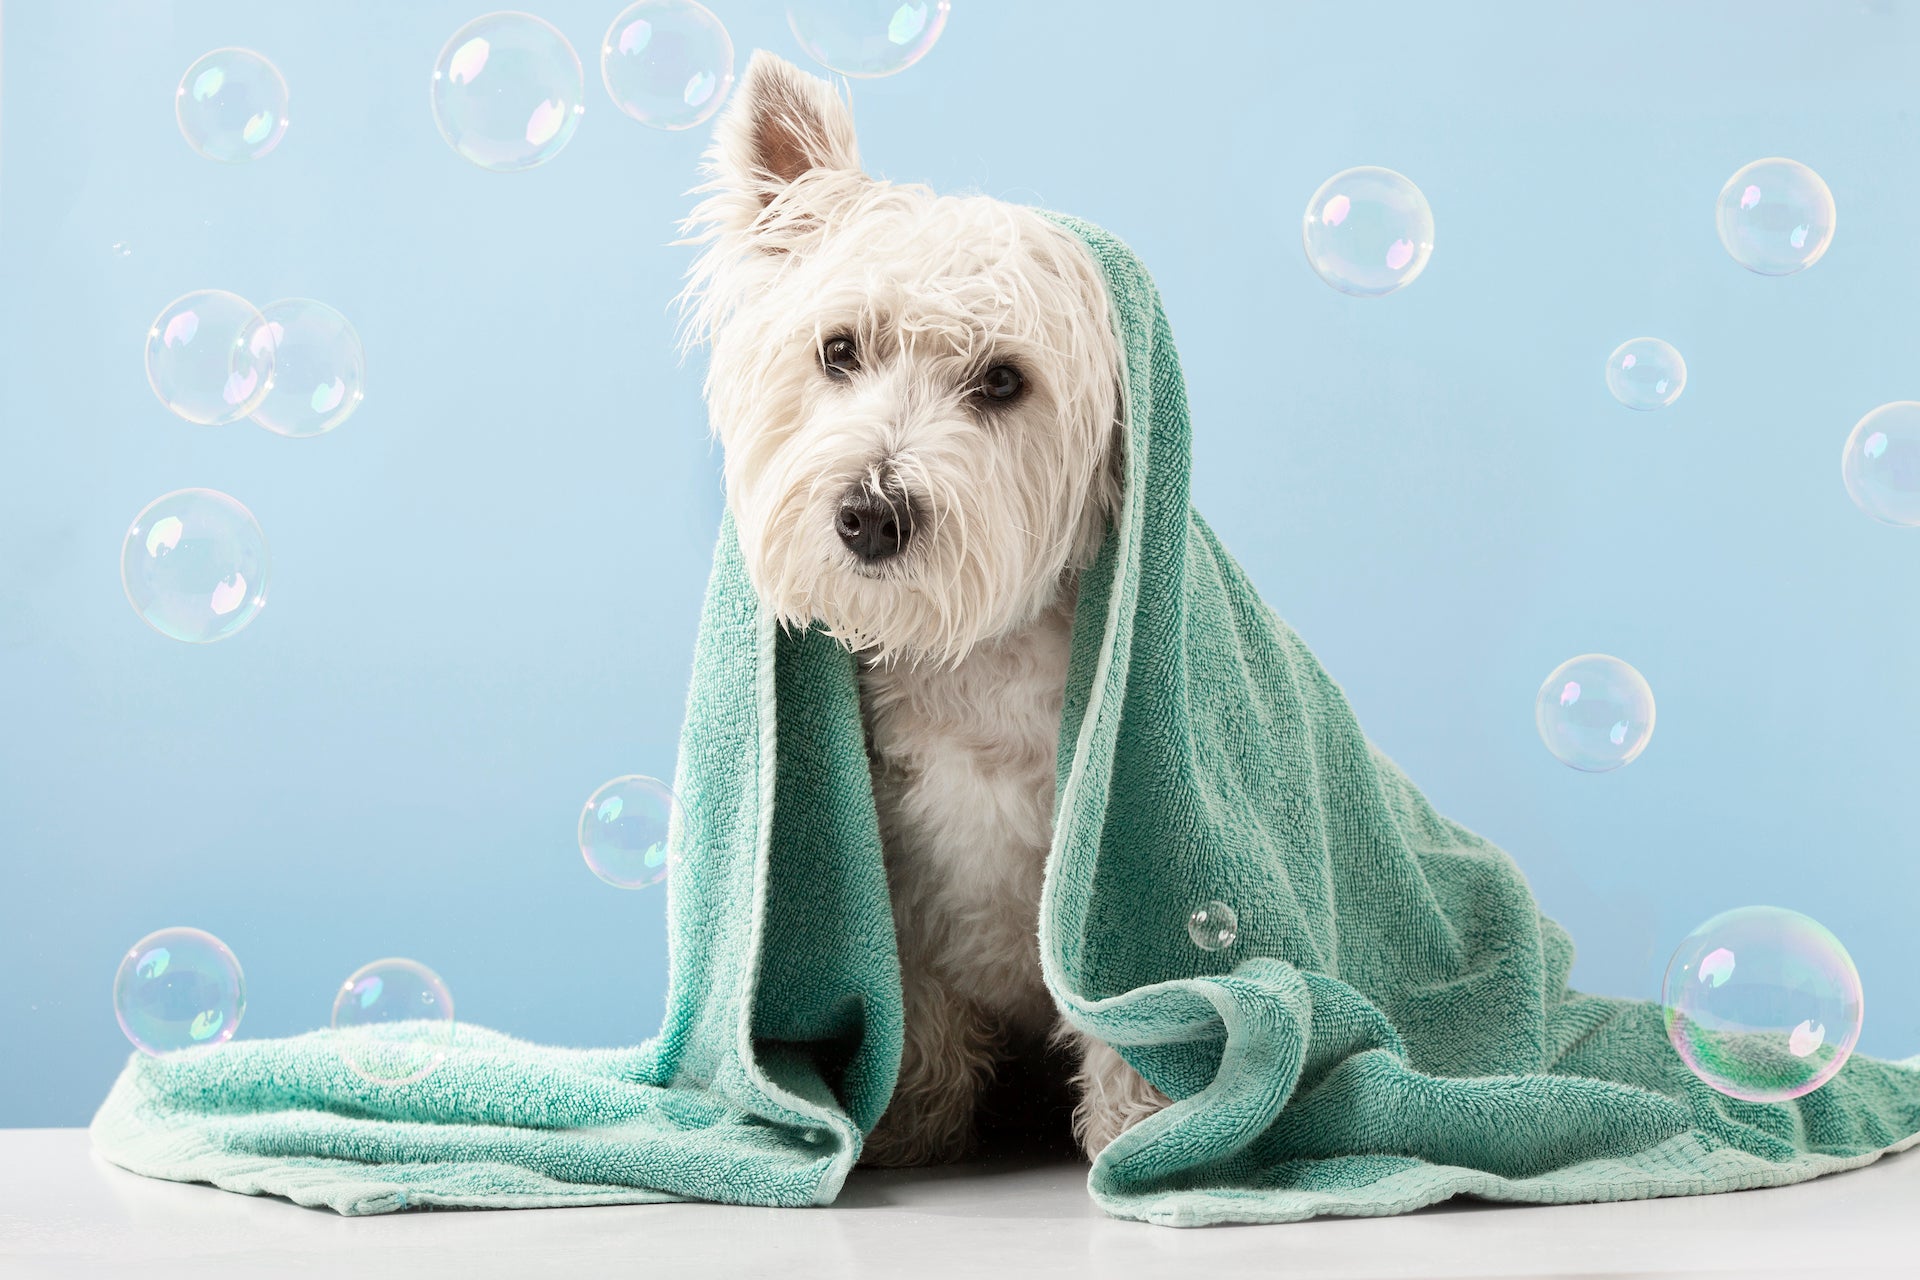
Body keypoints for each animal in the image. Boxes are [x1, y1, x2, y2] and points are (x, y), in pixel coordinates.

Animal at [687, 55, 1167, 1166]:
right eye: (837, 351)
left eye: (1003, 380)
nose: (870, 514)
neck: (966, 657)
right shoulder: (893, 870)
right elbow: (915, 998)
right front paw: (906, 1117)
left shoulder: (1103, 854)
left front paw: (1143, 1127)